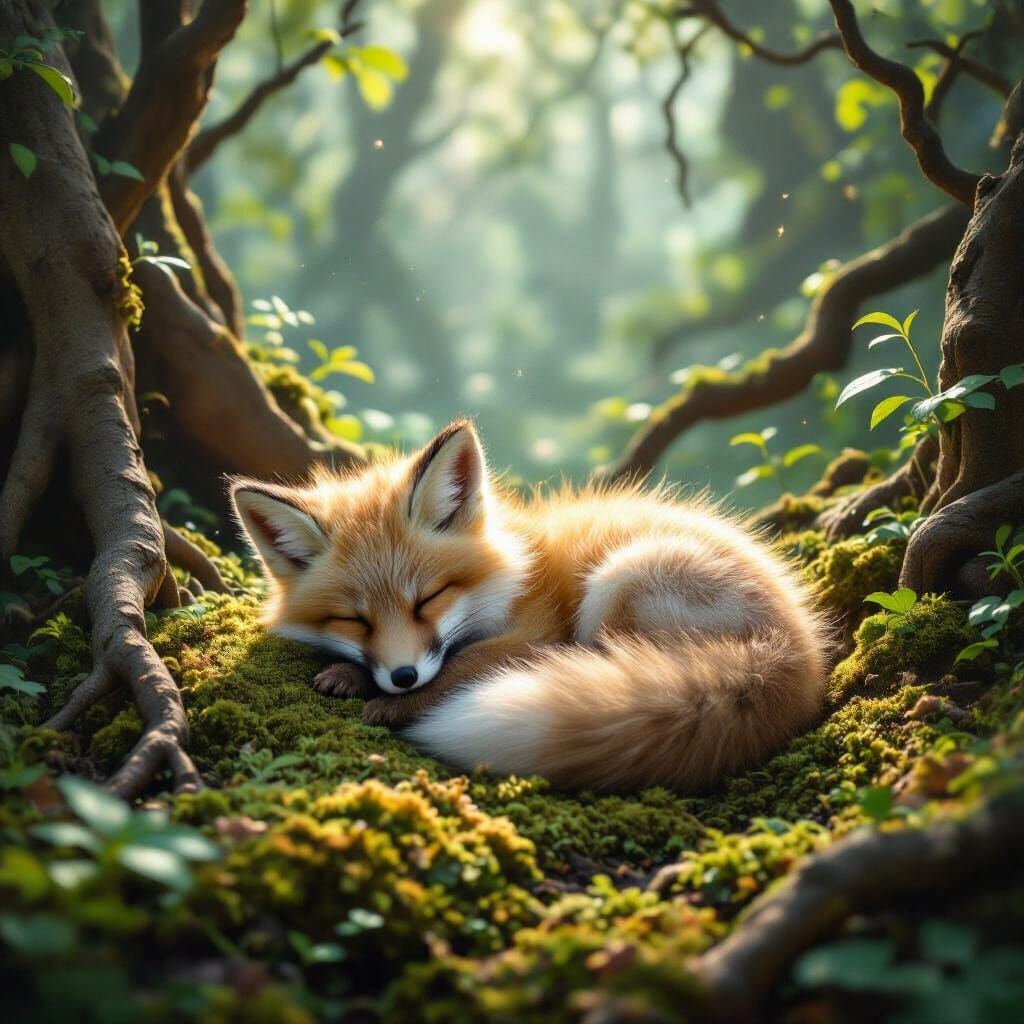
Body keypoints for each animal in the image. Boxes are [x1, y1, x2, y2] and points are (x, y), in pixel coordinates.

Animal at [230, 419, 829, 792]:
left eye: (429, 598)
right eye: (354, 619)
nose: (402, 677)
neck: (514, 571)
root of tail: (794, 655)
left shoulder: (535, 633)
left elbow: (462, 666)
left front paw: (392, 706)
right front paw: (352, 675)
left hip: (620, 580)